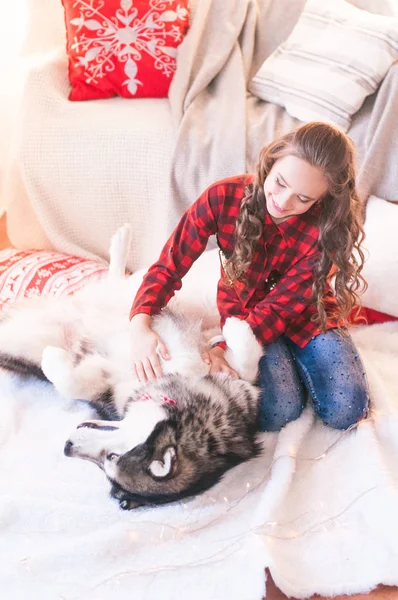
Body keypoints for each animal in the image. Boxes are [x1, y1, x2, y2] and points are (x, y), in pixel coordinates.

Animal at [0, 227, 264, 508]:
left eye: (110, 459)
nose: (67, 446)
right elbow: (248, 358)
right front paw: (235, 326)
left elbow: (71, 383)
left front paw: (52, 359)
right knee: (123, 284)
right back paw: (121, 242)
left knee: (116, 284)